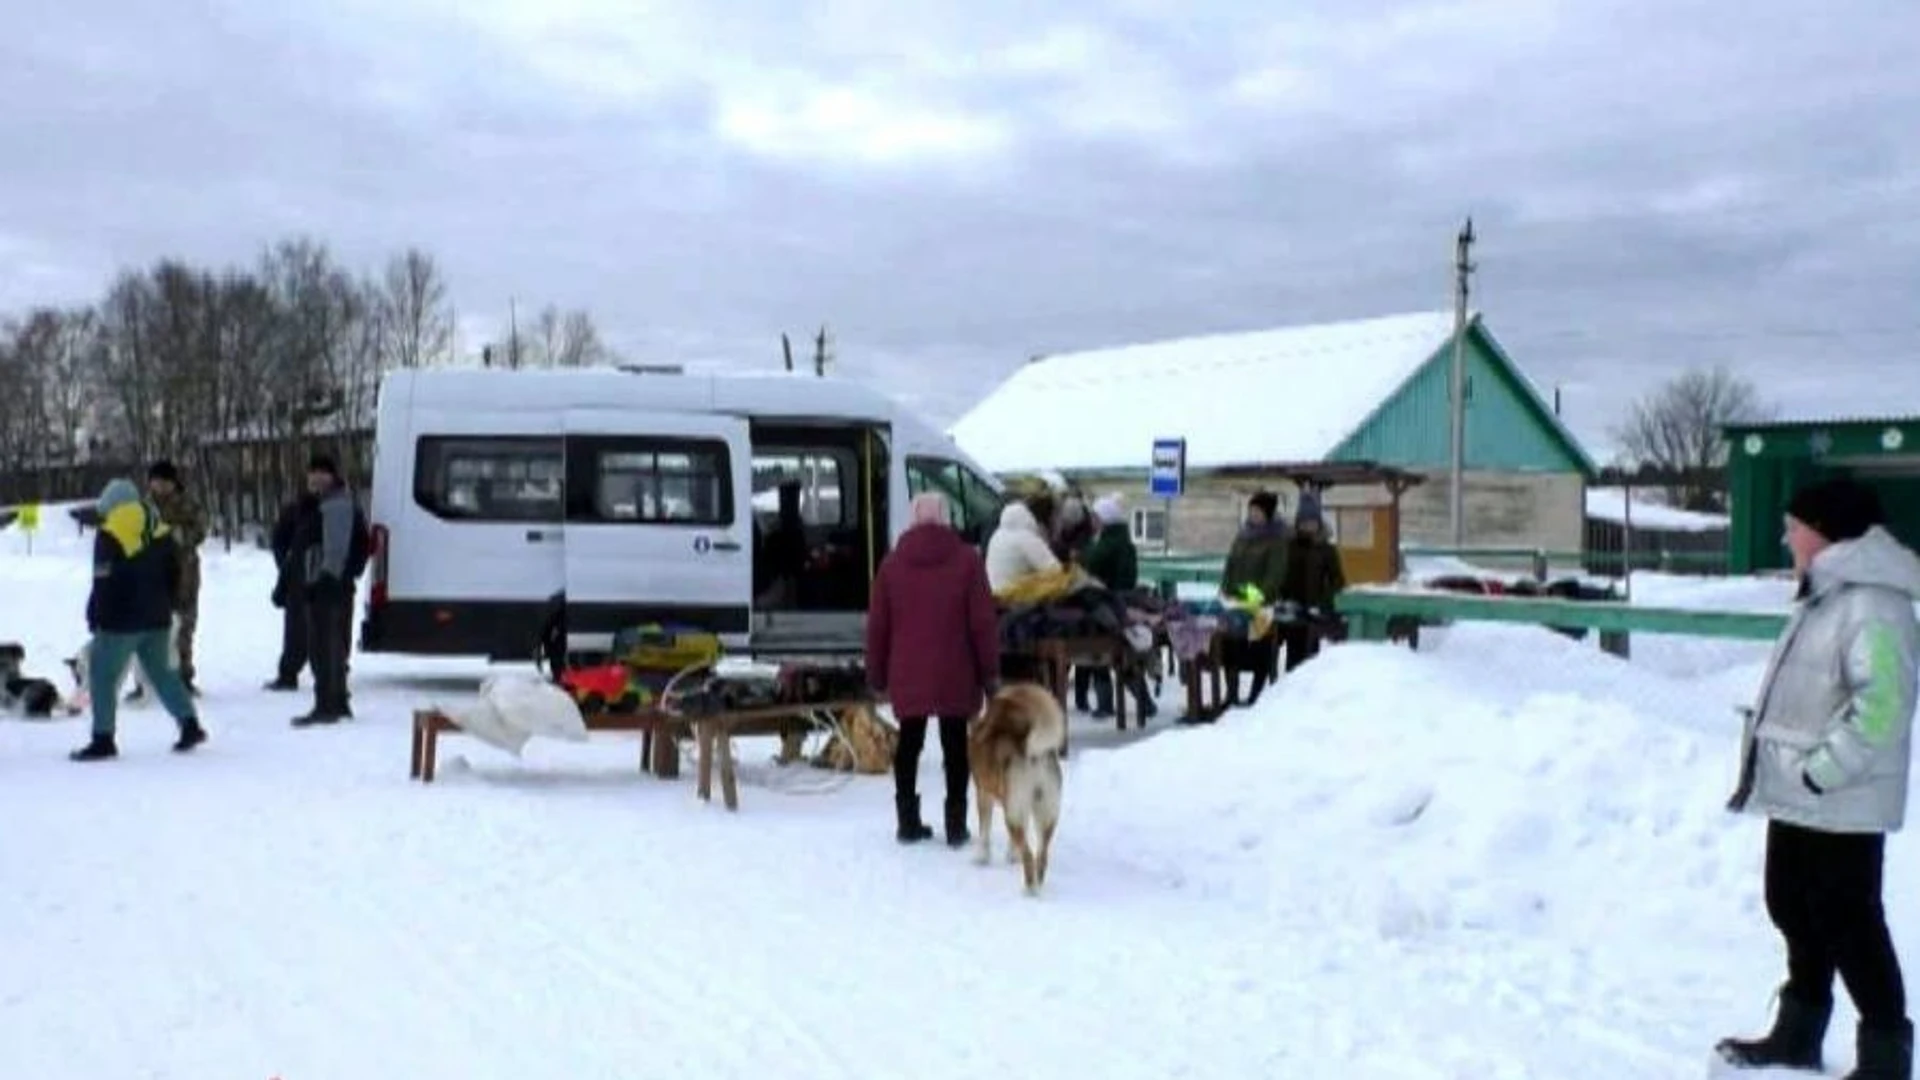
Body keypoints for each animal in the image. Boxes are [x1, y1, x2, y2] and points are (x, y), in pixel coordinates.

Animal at [967, 684, 1075, 895]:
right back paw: (1037, 885)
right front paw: (1011, 856)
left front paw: (982, 858)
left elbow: (984, 831)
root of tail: (1035, 755)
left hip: (1013, 814)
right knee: (1041, 854)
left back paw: (1029, 890)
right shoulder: (1017, 805)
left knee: (1029, 854)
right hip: (1045, 811)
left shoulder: (984, 793)